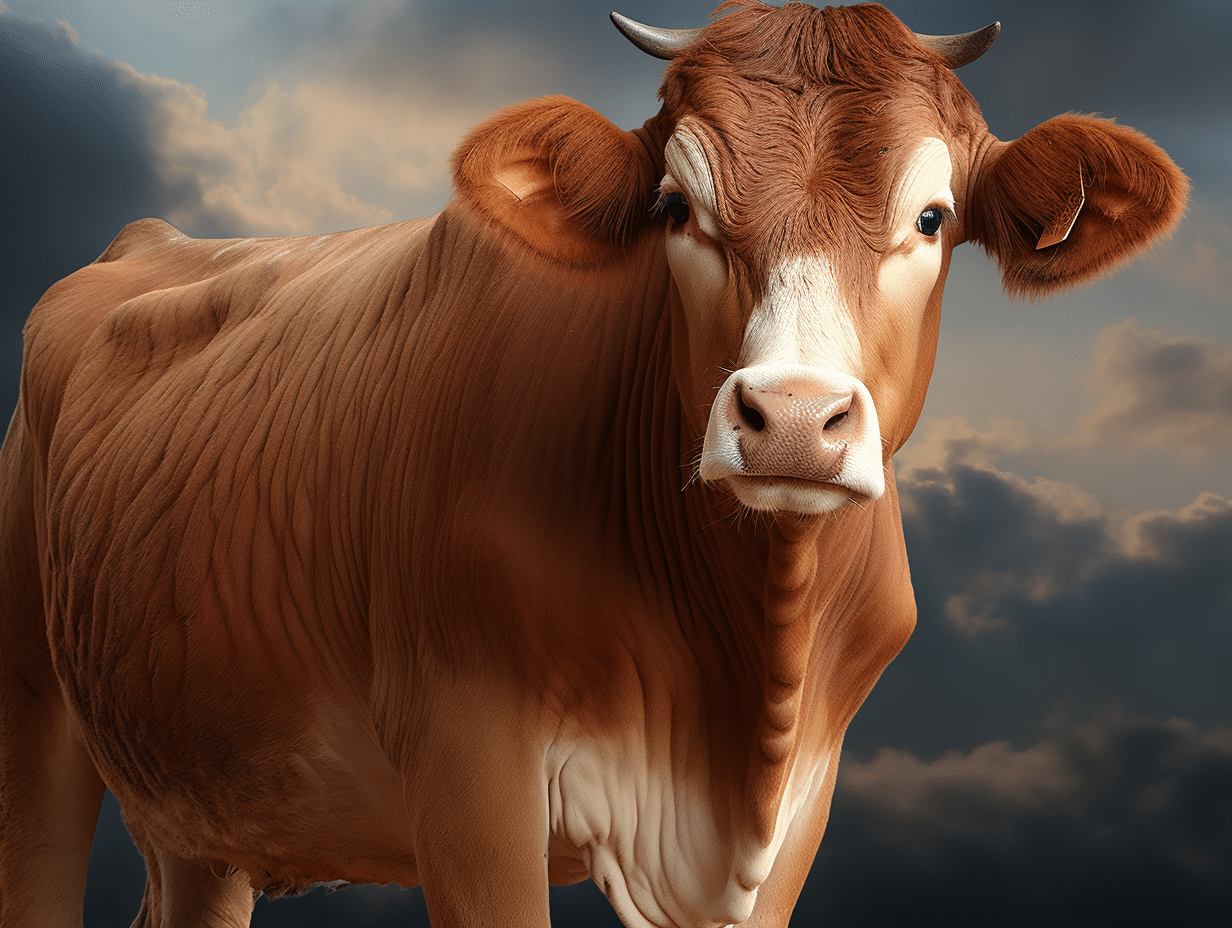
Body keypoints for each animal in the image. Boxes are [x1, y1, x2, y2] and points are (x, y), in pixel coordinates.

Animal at [0, 3, 1187, 927]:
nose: (792, 418)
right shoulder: (467, 764)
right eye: (673, 207)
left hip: (203, 785)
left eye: (932, 219)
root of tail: (155, 239)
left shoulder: (798, 808)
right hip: (35, 710)